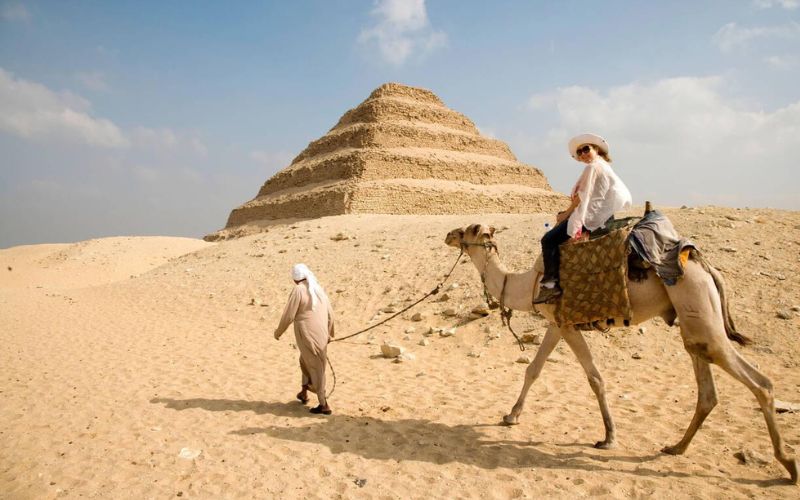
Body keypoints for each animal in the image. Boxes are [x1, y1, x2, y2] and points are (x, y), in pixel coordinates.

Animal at [444, 223, 798, 484]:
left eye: (470, 230)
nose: (449, 234)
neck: (528, 284)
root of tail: (708, 268)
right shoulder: (557, 324)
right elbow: (535, 368)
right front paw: (511, 416)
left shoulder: (565, 323)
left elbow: (594, 377)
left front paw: (608, 437)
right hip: (692, 318)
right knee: (707, 388)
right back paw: (676, 447)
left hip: (698, 307)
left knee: (760, 382)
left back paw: (788, 464)